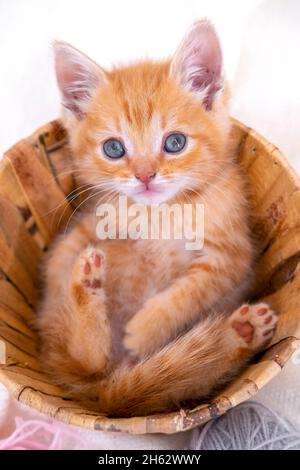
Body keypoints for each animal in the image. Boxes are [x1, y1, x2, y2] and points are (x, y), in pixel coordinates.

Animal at [36, 21, 278, 414]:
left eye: (175, 142)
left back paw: (240, 333)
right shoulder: (92, 222)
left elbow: (192, 290)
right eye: (114, 148)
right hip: (65, 306)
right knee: (87, 358)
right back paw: (85, 286)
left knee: (176, 379)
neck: (161, 213)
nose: (145, 176)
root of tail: (105, 393)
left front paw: (146, 329)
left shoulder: (231, 255)